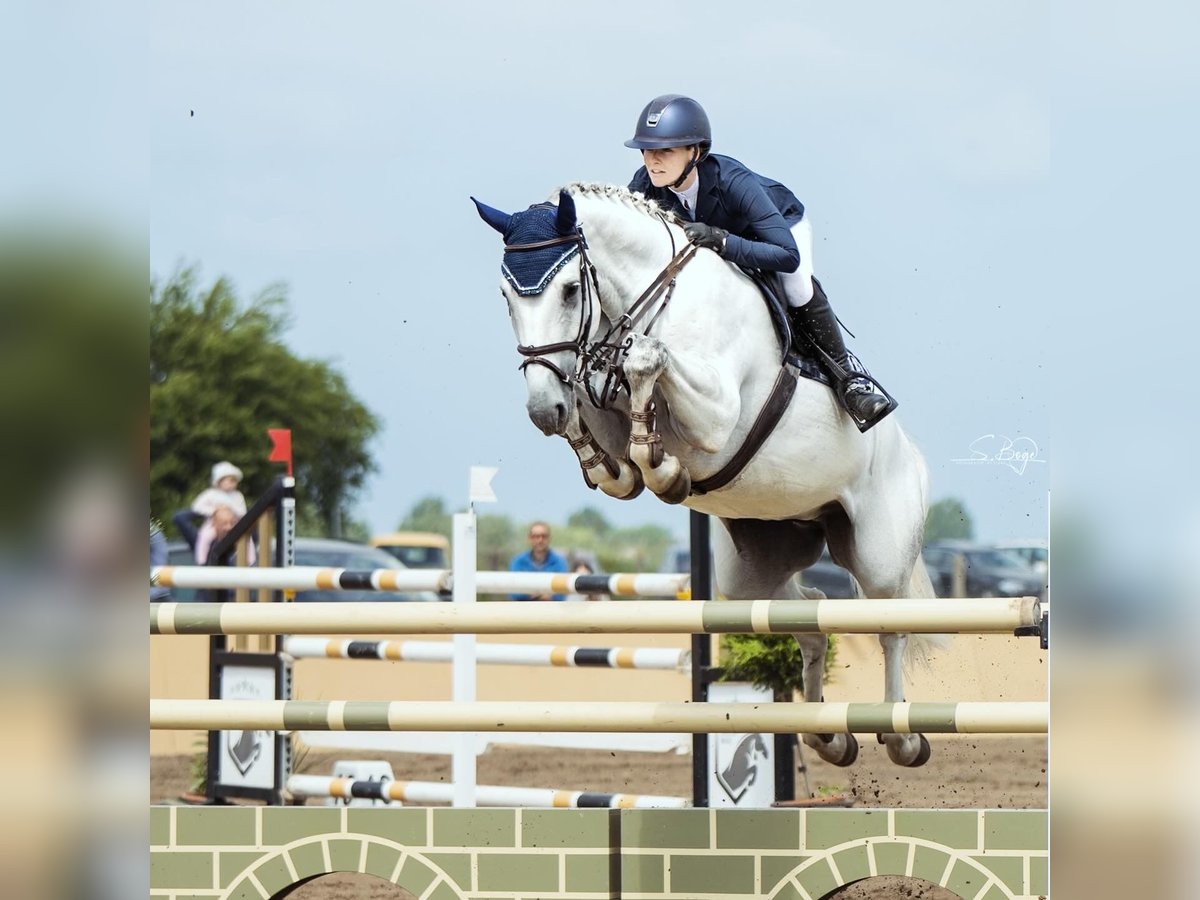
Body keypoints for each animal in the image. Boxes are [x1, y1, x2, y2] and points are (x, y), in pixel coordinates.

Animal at [472, 183, 940, 768]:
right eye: (505, 297)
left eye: (569, 289)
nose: (542, 410)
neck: (656, 297)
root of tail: (913, 455)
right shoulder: (609, 424)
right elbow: (615, 459)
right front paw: (627, 449)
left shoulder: (717, 415)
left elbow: (649, 363)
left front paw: (666, 466)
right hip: (750, 570)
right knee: (810, 615)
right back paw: (829, 737)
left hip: (879, 551)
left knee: (888, 624)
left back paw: (902, 736)